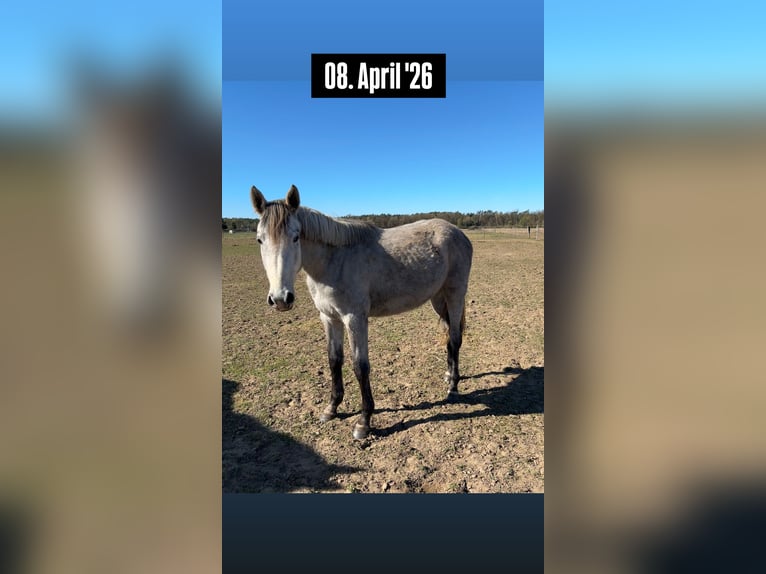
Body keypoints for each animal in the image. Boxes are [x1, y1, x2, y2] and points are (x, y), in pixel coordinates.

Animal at [251, 185, 473, 440]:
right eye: (259, 240)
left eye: (296, 237)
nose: (280, 299)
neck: (334, 261)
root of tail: (458, 233)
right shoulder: (329, 318)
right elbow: (334, 360)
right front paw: (332, 408)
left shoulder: (354, 319)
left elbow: (360, 367)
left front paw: (363, 422)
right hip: (438, 298)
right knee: (448, 337)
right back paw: (448, 375)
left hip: (455, 295)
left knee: (455, 339)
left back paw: (453, 387)